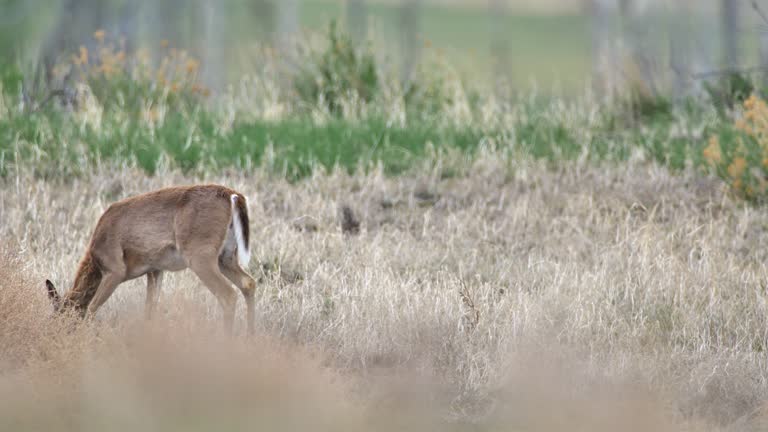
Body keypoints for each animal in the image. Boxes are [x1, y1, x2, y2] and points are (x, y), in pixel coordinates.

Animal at [45, 184, 258, 332]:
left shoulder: (115, 270)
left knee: (228, 294)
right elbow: (150, 310)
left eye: (60, 318)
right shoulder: (155, 269)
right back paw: (249, 338)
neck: (95, 257)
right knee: (248, 283)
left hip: (200, 254)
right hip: (226, 256)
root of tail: (233, 195)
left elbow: (91, 308)